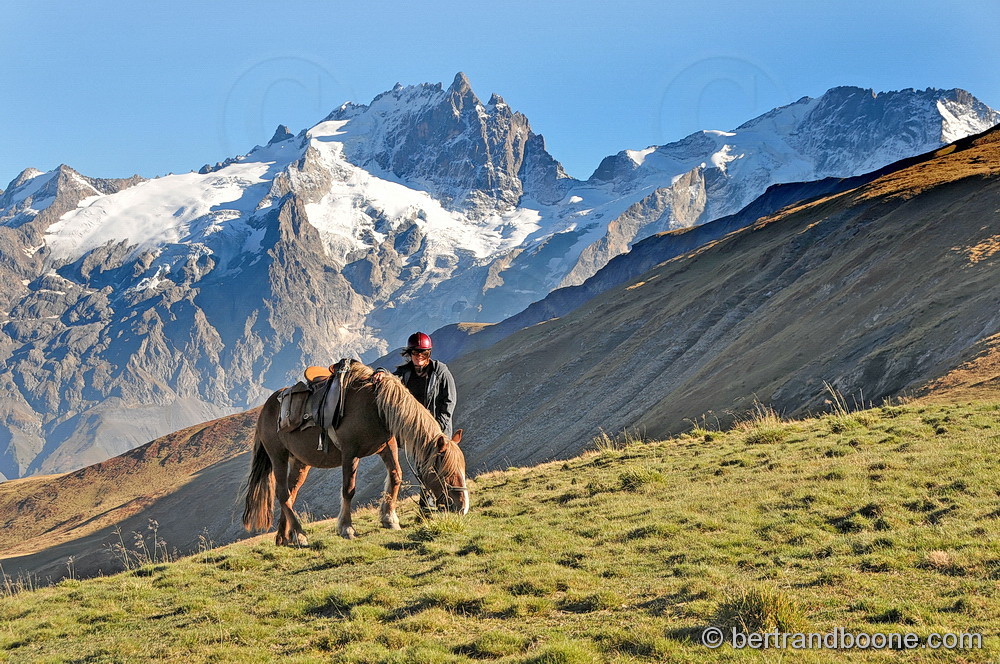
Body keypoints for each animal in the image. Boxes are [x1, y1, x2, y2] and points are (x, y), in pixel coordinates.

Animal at [242, 361, 468, 544]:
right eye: (445, 473)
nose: (463, 507)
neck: (375, 406)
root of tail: (266, 408)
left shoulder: (387, 446)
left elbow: (395, 476)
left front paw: (389, 519)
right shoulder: (350, 453)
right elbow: (348, 490)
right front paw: (346, 528)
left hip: (300, 461)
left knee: (290, 493)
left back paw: (284, 537)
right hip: (278, 456)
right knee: (282, 494)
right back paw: (299, 534)